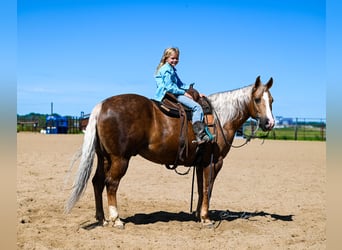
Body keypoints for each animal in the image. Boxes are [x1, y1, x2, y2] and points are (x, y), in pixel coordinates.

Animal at [65, 75, 276, 229]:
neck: (220, 118)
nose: (270, 123)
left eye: (272, 100)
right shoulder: (214, 162)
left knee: (97, 182)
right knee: (111, 184)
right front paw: (206, 218)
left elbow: (200, 189)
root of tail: (102, 106)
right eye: (257, 99)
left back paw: (102, 218)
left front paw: (198, 215)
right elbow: (208, 188)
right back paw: (116, 219)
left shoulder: (200, 163)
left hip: (104, 157)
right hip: (120, 159)